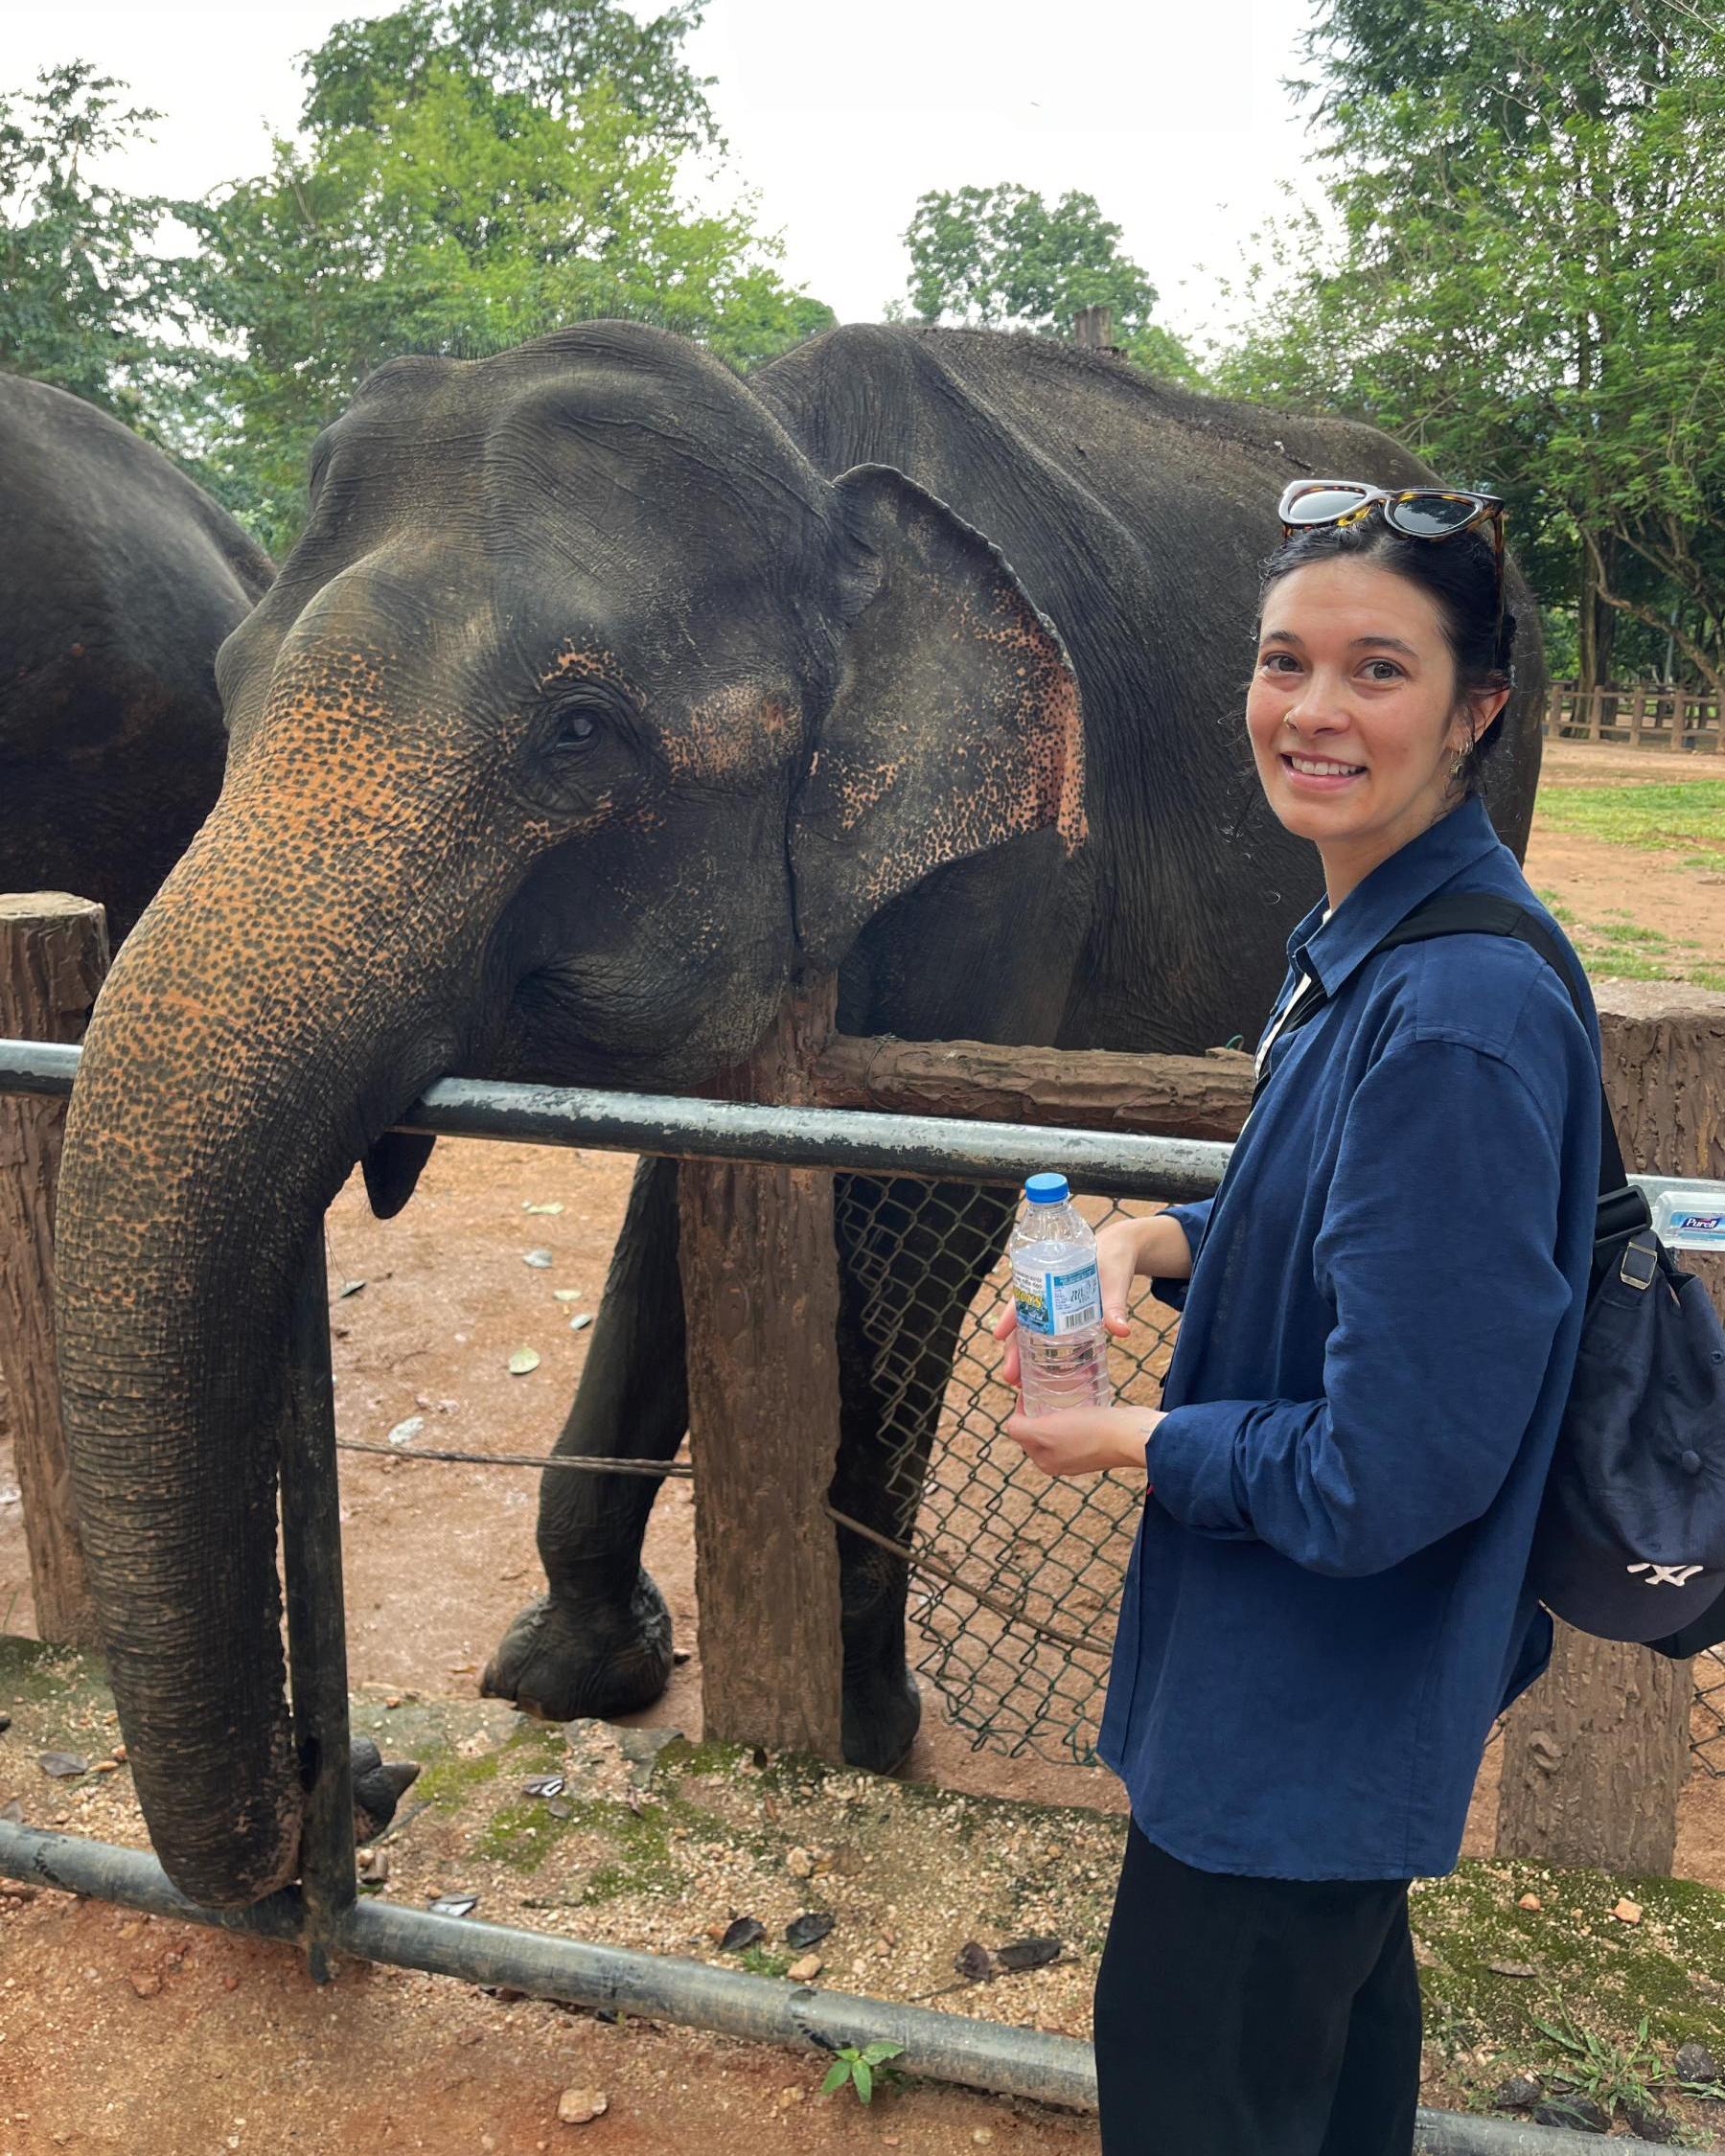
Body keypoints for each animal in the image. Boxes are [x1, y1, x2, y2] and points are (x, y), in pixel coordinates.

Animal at [52, 321, 1546, 1908]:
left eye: (578, 731)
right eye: (228, 685)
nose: (366, 1778)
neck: (811, 474)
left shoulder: (1015, 857)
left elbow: (918, 1215)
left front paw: (864, 1730)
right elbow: (680, 1196)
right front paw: (571, 1675)